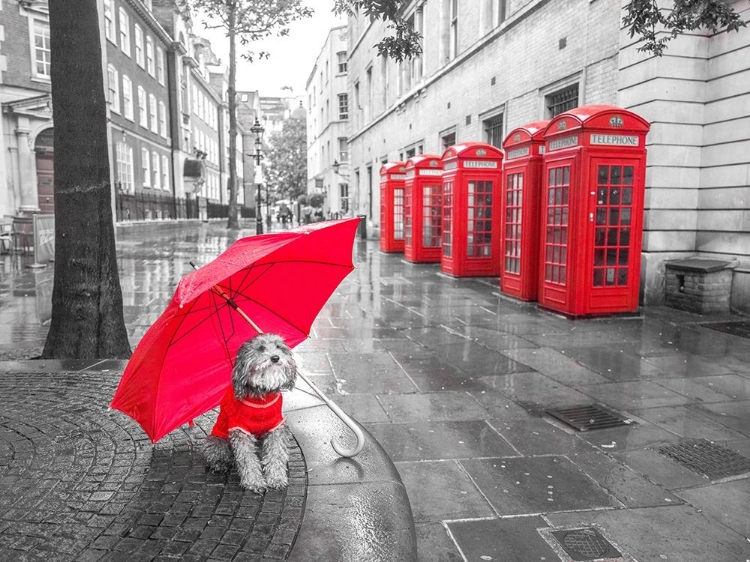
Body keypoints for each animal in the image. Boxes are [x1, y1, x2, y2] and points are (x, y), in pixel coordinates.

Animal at [207, 332, 302, 490]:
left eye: (278, 346)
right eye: (261, 348)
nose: (275, 357)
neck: (262, 396)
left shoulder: (275, 428)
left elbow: (276, 454)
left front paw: (276, 478)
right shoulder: (240, 430)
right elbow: (247, 459)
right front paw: (254, 481)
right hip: (217, 440)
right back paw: (220, 464)